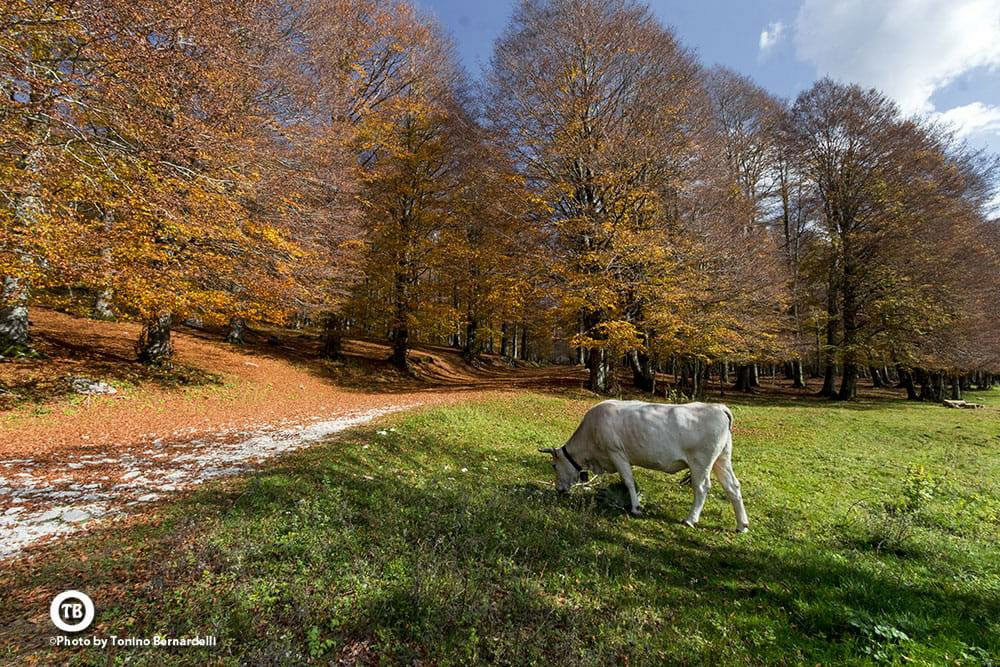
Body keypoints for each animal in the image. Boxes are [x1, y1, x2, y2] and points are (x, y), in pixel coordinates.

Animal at [540, 402, 752, 532]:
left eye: (554, 465)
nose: (559, 490)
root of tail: (718, 407)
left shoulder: (617, 453)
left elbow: (629, 481)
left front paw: (636, 508)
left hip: (701, 462)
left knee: (702, 488)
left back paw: (691, 519)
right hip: (722, 459)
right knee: (733, 486)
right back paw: (742, 525)